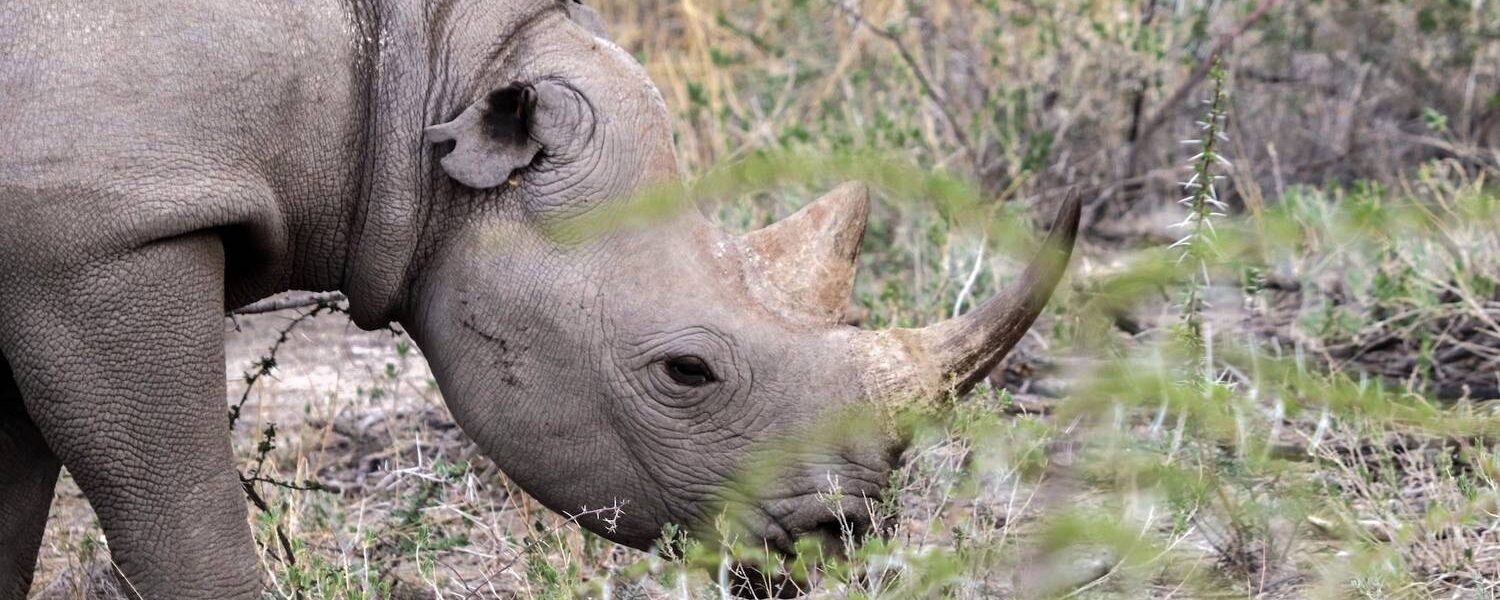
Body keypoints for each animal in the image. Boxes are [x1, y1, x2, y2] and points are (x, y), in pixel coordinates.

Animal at [0, 0, 1079, 597]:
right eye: (687, 371)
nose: (841, 540)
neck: (428, 71)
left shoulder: (42, 244)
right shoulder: (107, 229)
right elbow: (190, 537)